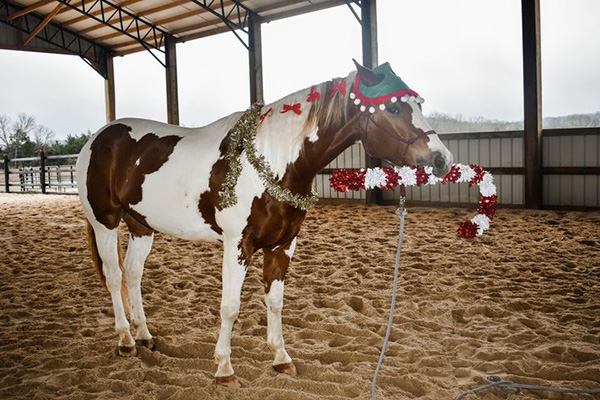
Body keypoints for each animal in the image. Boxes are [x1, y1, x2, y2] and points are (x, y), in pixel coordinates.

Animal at [75, 60, 452, 388]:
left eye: (418, 103)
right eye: (394, 109)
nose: (442, 159)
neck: (272, 162)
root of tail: (98, 138)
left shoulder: (283, 244)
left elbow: (275, 302)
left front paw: (281, 358)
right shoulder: (237, 245)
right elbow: (230, 308)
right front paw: (224, 369)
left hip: (141, 226)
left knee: (133, 273)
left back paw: (144, 335)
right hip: (105, 222)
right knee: (114, 276)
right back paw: (125, 340)